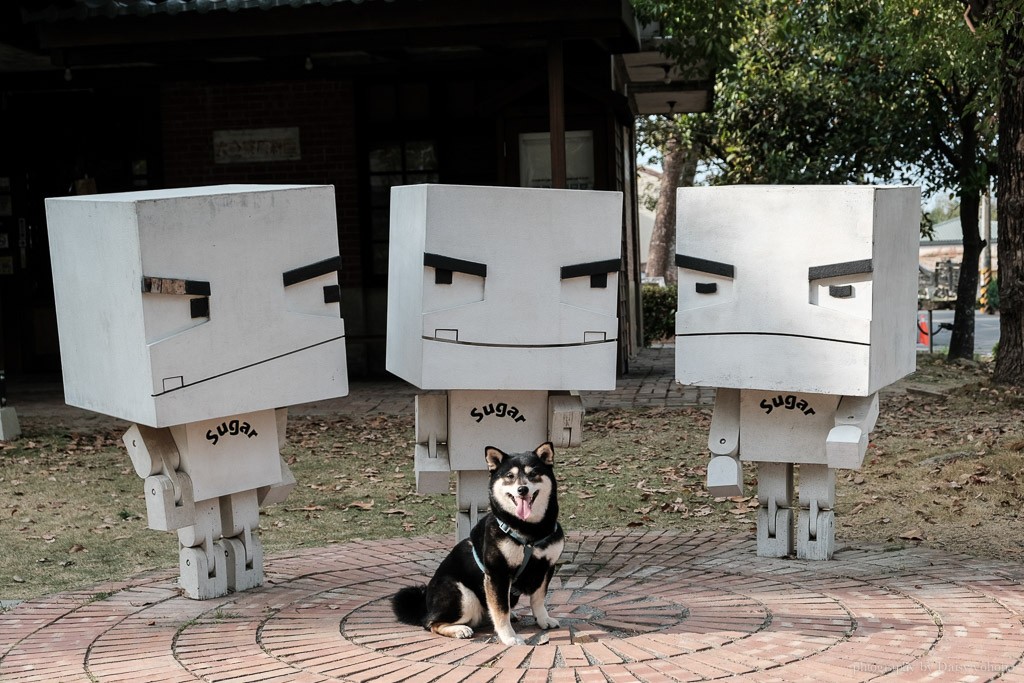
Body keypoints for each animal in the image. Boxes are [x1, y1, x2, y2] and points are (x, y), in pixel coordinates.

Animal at [393, 444, 569, 647]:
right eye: (510, 476)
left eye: (533, 474)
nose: (522, 489)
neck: (530, 531)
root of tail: (425, 604)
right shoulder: (497, 574)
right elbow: (501, 611)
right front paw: (509, 637)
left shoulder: (547, 567)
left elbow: (538, 600)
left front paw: (543, 619)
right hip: (463, 595)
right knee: (431, 623)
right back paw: (459, 629)